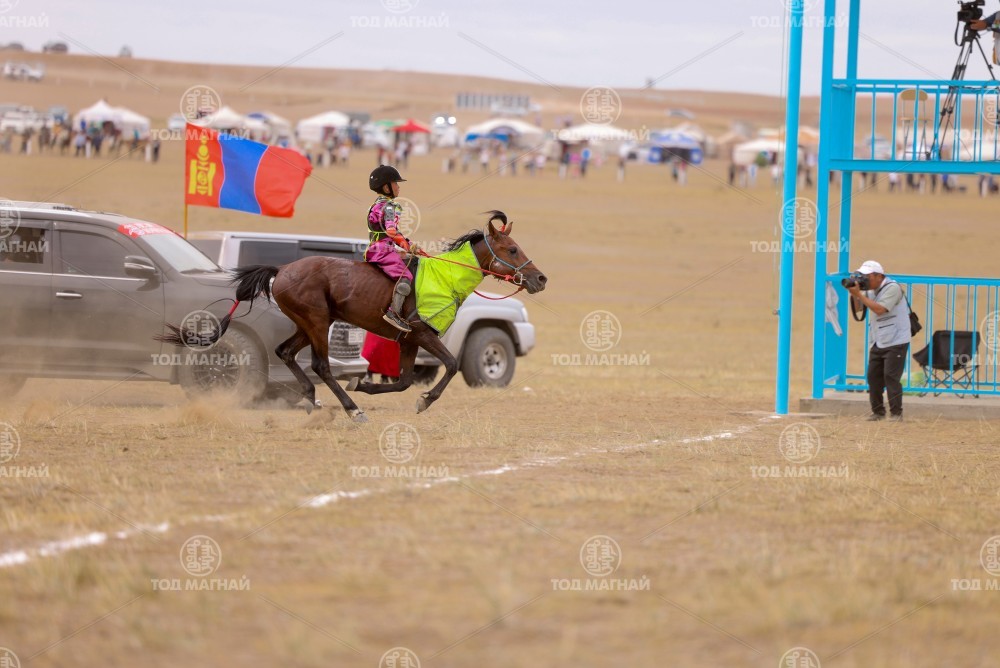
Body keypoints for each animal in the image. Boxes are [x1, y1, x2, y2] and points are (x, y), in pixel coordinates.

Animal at [158, 211, 547, 422]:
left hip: (309, 323)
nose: (540, 278)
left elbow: (404, 381)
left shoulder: (408, 340)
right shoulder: (423, 334)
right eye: (512, 249)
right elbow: (450, 365)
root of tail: (281, 270)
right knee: (321, 365)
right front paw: (423, 401)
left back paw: (312, 401)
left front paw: (366, 384)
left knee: (286, 353)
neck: (447, 277)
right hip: (317, 322)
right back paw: (351, 409)